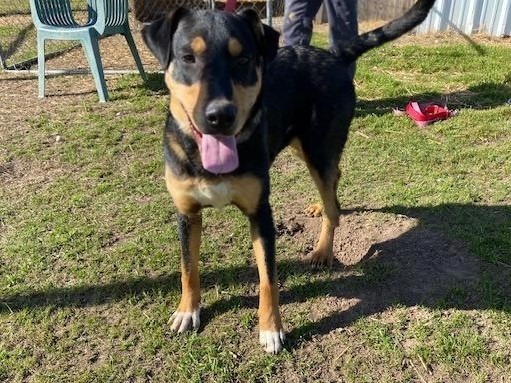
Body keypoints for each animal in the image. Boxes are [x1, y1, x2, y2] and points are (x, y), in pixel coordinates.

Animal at [143, 0, 436, 354]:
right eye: (188, 57)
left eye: (243, 59)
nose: (220, 116)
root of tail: (333, 53)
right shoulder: (187, 214)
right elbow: (188, 268)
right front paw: (188, 311)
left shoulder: (261, 213)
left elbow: (268, 279)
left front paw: (271, 329)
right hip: (303, 147)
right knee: (335, 180)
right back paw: (319, 207)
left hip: (318, 148)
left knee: (333, 204)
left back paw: (323, 249)